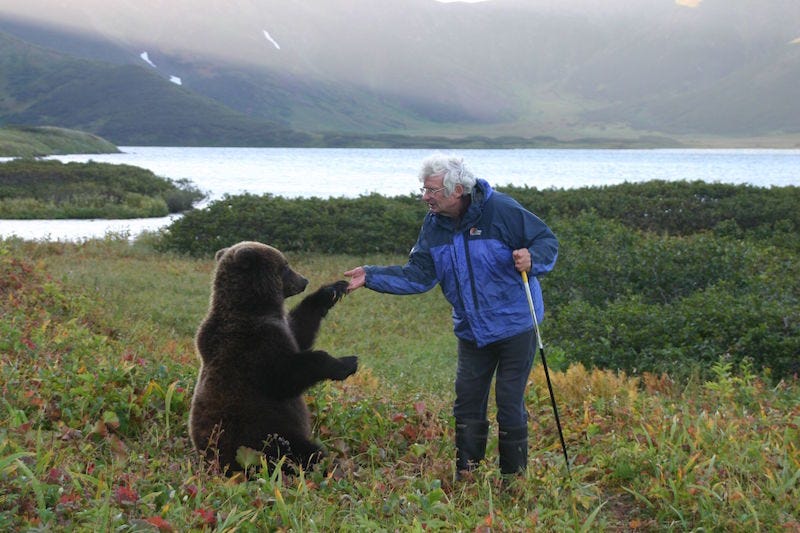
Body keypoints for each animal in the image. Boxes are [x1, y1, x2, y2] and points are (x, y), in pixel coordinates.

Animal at [188, 241, 356, 474]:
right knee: (301, 452)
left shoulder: (279, 329)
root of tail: (212, 462)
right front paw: (346, 363)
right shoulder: (255, 344)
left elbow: (299, 331)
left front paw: (330, 291)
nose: (304, 280)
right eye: (285, 266)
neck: (253, 307)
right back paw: (332, 466)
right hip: (262, 436)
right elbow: (285, 376)